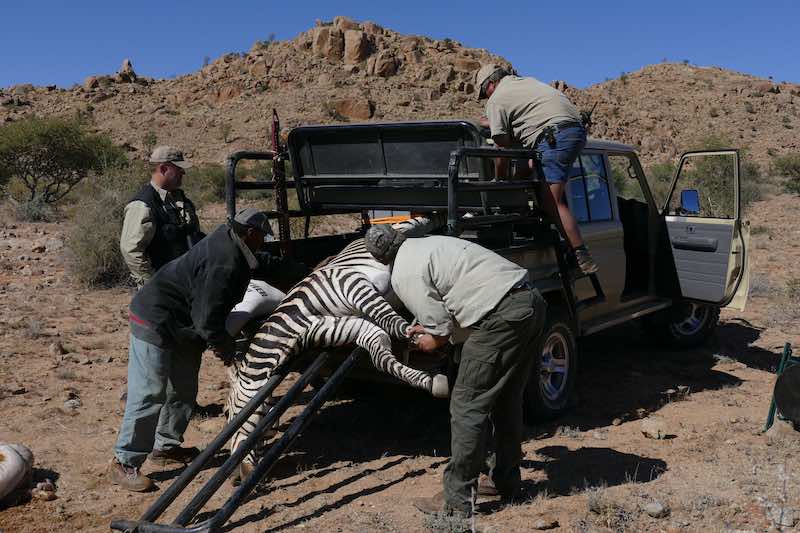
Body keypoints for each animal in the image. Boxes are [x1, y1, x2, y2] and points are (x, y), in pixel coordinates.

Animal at [227, 212, 450, 474]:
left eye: (230, 414)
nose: (237, 476)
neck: (295, 319)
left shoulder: (352, 284)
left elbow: (393, 323)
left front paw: (425, 339)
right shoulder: (347, 326)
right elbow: (380, 351)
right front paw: (432, 382)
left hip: (399, 231)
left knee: (418, 222)